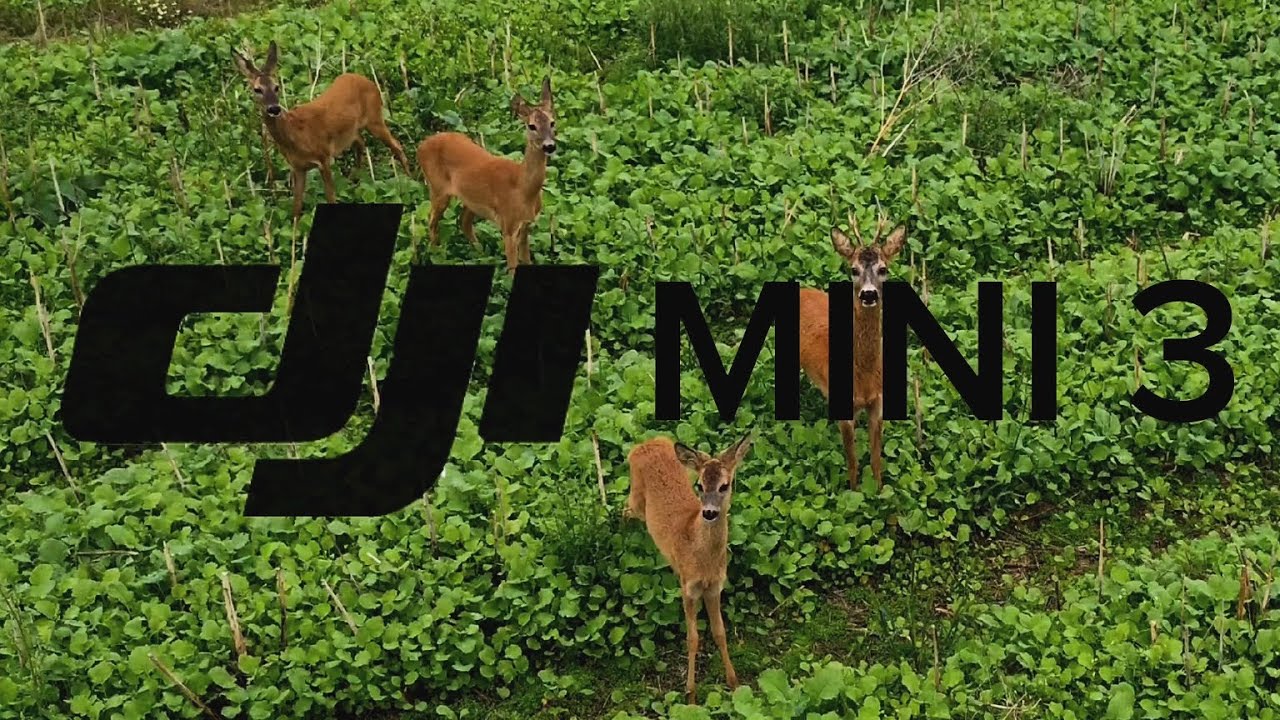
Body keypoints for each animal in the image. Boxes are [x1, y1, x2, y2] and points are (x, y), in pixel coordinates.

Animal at [233, 42, 412, 223]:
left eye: (276, 87)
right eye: (257, 89)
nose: (274, 109)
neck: (295, 134)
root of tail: (367, 80)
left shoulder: (324, 157)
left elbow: (330, 197)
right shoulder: (298, 167)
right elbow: (296, 207)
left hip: (375, 118)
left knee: (396, 145)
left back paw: (411, 181)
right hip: (353, 130)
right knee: (361, 143)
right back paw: (355, 181)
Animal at [417, 76, 556, 274]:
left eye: (552, 122)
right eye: (532, 126)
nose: (549, 146)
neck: (522, 188)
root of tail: (421, 146)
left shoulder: (526, 224)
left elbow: (527, 260)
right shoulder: (508, 225)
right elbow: (513, 268)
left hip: (470, 199)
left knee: (463, 222)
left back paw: (481, 253)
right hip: (437, 188)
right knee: (431, 220)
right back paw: (437, 254)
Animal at [623, 433, 753, 705]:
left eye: (724, 486)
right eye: (700, 486)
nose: (709, 512)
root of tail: (644, 443)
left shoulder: (714, 587)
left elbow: (720, 632)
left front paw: (735, 685)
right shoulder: (687, 586)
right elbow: (692, 638)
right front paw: (691, 696)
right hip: (636, 496)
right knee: (624, 509)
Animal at [798, 222, 907, 493]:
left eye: (883, 269)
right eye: (853, 269)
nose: (868, 295)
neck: (864, 376)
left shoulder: (878, 403)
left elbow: (876, 458)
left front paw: (878, 491)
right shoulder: (846, 410)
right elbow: (853, 461)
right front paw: (855, 493)